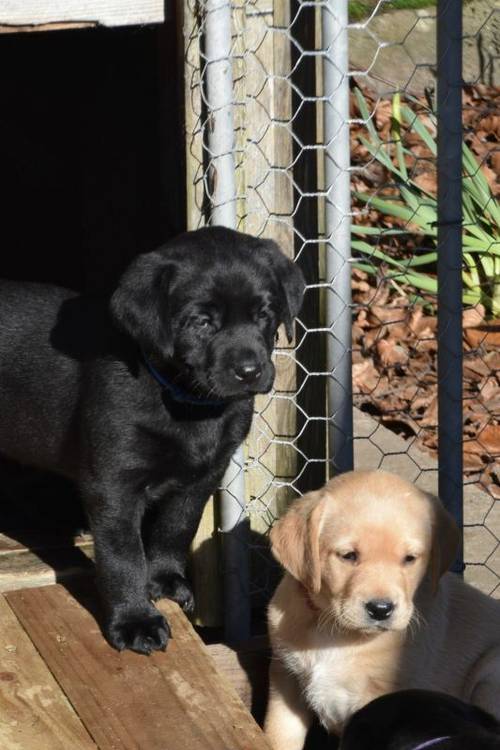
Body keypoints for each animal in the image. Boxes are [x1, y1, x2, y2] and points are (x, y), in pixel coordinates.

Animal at [0, 226, 304, 656]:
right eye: (201, 322)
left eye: (264, 315)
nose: (249, 371)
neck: (187, 401)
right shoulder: (113, 484)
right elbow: (123, 555)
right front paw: (134, 619)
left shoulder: (203, 475)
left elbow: (177, 527)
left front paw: (164, 580)